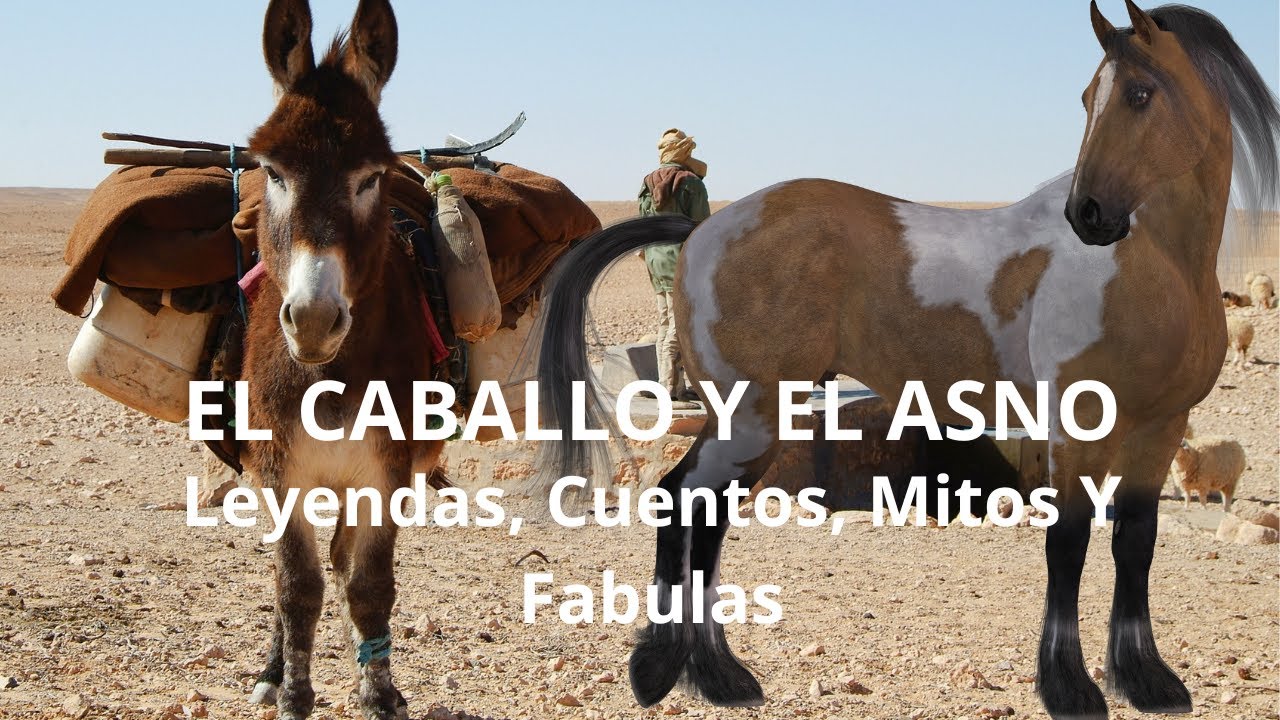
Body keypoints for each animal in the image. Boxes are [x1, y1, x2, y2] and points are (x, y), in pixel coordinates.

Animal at [240, 1, 441, 718]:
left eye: (370, 178)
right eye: (272, 173)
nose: (314, 319)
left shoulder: (385, 474)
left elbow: (370, 586)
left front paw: (378, 693)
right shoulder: (278, 473)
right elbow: (295, 589)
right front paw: (295, 694)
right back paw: (273, 671)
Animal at [534, 2, 1279, 718]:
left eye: (1140, 92)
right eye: (1090, 96)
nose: (1089, 215)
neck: (1158, 265)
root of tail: (702, 228)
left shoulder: (1160, 430)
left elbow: (1135, 543)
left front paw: (1147, 680)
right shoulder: (1081, 427)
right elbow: (1068, 544)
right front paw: (1070, 689)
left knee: (695, 511)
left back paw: (707, 676)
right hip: (752, 421)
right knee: (690, 506)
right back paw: (683, 675)